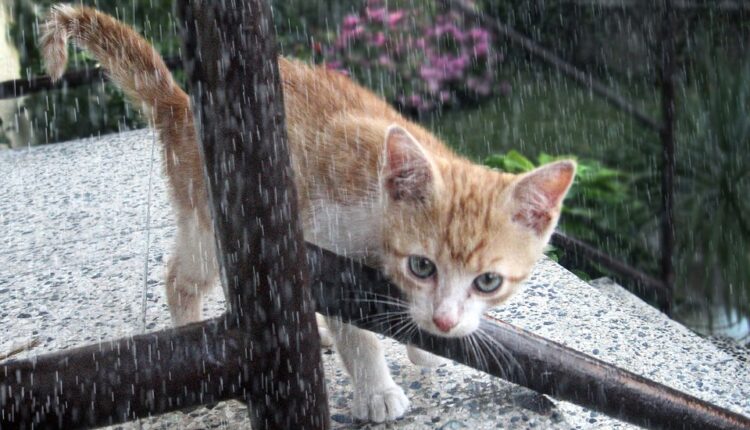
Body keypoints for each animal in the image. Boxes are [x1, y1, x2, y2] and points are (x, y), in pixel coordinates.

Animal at [41, 5, 580, 424]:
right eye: (421, 265)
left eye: (488, 282)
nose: (445, 321)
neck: (377, 197)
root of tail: (180, 104)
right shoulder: (333, 242)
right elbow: (357, 330)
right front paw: (377, 390)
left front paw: (424, 342)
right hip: (211, 222)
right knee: (180, 278)